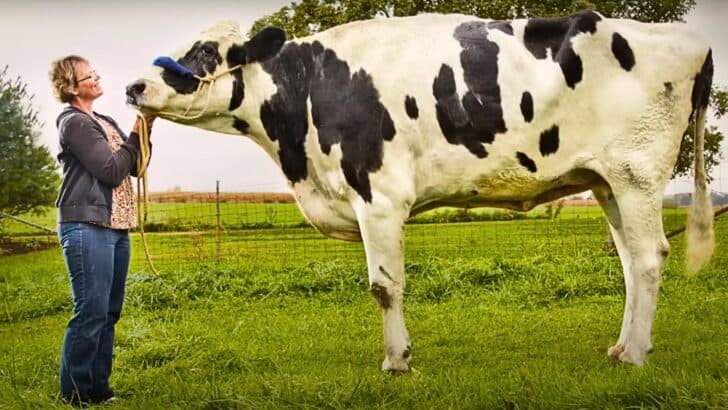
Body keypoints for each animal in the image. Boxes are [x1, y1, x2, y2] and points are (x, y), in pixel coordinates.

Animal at [127, 10, 714, 372]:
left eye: (205, 49)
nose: (135, 86)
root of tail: (689, 39)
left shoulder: (379, 195)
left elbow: (384, 286)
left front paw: (396, 360)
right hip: (607, 183)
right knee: (630, 262)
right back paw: (623, 346)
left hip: (637, 173)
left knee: (648, 258)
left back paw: (635, 355)